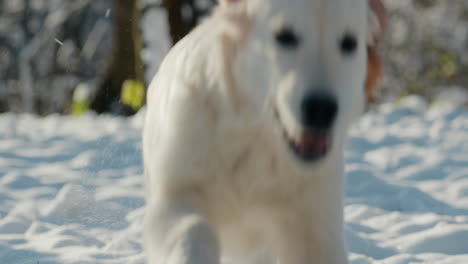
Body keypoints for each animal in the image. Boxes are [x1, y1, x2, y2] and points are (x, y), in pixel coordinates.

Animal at [143, 1, 384, 262]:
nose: (322, 109)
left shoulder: (313, 218)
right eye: (285, 36)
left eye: (349, 43)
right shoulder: (174, 193)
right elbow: (193, 227)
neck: (255, 135)